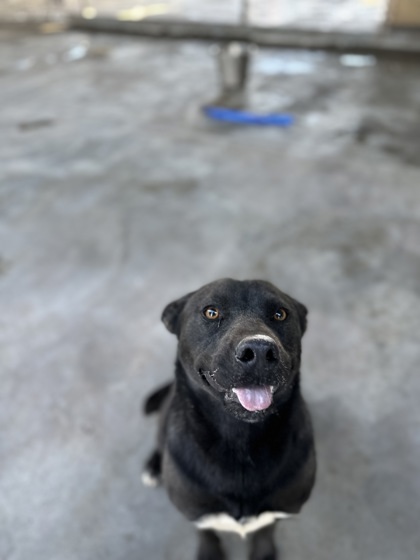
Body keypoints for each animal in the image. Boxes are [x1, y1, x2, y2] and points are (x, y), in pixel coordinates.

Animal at [142, 278, 316, 556]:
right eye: (211, 312)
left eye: (280, 314)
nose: (259, 351)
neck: (240, 438)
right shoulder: (197, 513)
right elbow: (207, 533)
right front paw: (210, 554)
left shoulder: (280, 510)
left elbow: (265, 532)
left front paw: (264, 554)